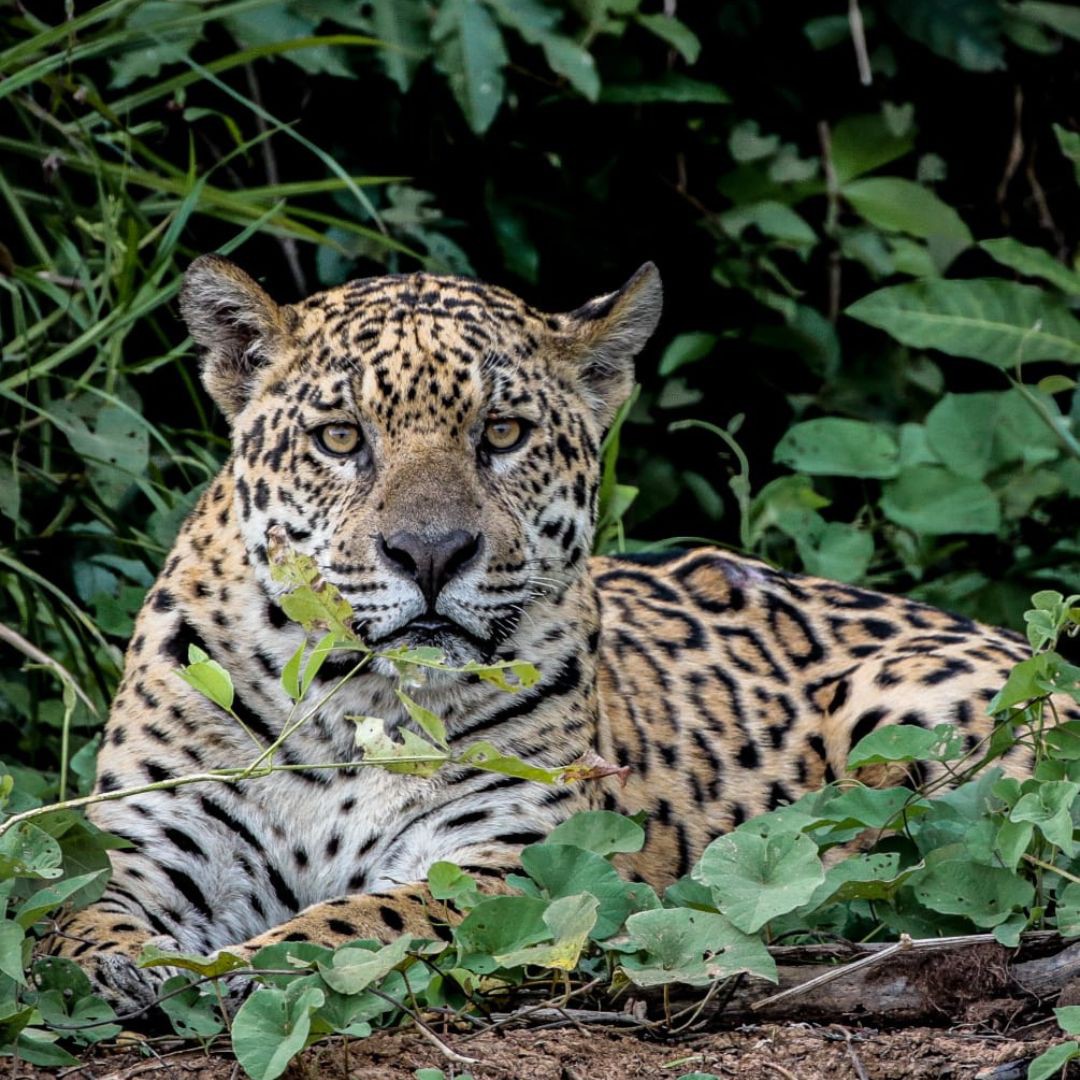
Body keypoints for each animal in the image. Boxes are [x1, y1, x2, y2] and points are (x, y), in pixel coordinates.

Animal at [52, 255, 1065, 1012]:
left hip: (909, 701)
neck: (357, 701)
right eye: (341, 438)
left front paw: (244, 968)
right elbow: (72, 917)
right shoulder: (160, 845)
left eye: (502, 433)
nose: (430, 553)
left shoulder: (514, 870)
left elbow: (351, 925)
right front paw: (120, 967)